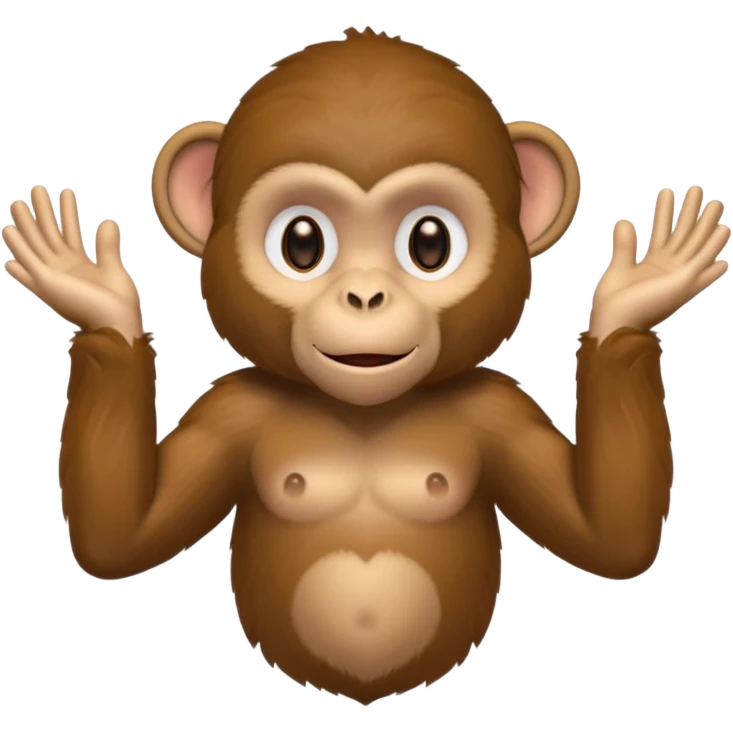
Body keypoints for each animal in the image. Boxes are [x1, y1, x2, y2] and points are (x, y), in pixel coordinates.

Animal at [1, 27, 730, 707]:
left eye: (430, 243)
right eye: (302, 243)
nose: (365, 296)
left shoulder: (500, 407)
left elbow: (608, 538)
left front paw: (635, 296)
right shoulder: (230, 407)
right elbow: (122, 538)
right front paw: (95, 296)